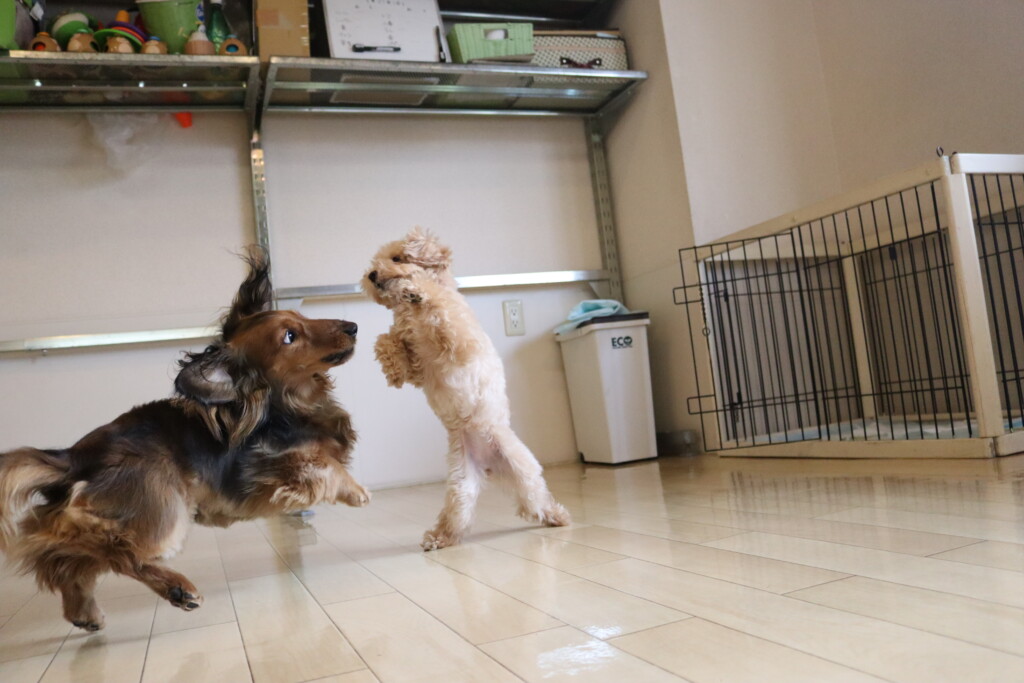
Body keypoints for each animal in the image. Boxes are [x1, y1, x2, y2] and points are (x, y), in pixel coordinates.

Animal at [0, 251, 370, 630]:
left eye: (302, 317)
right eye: (290, 336)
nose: (352, 327)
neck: (287, 406)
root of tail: (74, 456)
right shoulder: (285, 468)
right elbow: (327, 466)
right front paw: (356, 492)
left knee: (64, 557)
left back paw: (83, 610)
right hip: (162, 514)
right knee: (101, 547)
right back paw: (176, 588)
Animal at [363, 227, 570, 551]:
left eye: (396, 258)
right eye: (374, 262)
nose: (371, 275)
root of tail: (489, 466)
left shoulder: (461, 343)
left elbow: (439, 310)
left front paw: (417, 291)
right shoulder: (419, 370)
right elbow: (386, 340)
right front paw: (392, 368)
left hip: (522, 467)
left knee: (536, 498)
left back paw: (557, 516)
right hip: (461, 483)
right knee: (460, 514)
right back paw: (438, 538)